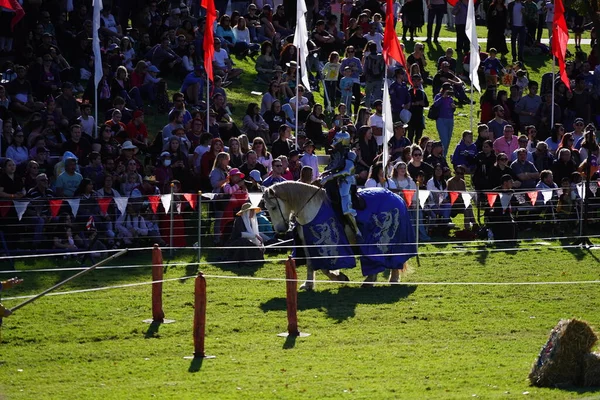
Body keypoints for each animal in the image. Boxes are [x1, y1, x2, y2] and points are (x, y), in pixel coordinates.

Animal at [264, 180, 410, 288]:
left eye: (273, 207)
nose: (280, 229)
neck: (312, 208)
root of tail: (397, 197)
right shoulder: (308, 243)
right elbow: (311, 264)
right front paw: (308, 284)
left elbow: (325, 267)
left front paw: (340, 277)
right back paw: (371, 280)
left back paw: (390, 279)